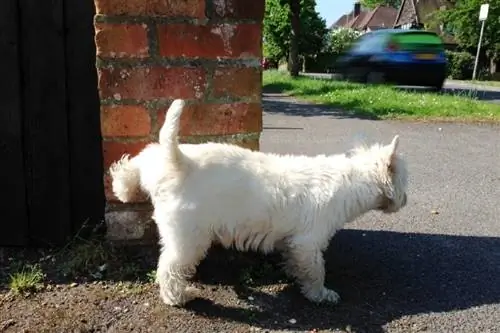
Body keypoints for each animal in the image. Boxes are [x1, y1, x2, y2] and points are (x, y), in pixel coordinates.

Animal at [108, 99, 406, 306]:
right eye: (405, 179)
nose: (404, 200)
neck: (350, 179)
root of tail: (179, 162)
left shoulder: (294, 242)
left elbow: (296, 262)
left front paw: (293, 274)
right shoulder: (309, 241)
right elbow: (315, 270)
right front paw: (320, 294)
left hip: (153, 164)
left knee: (134, 161)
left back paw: (123, 188)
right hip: (188, 239)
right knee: (169, 269)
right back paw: (179, 297)